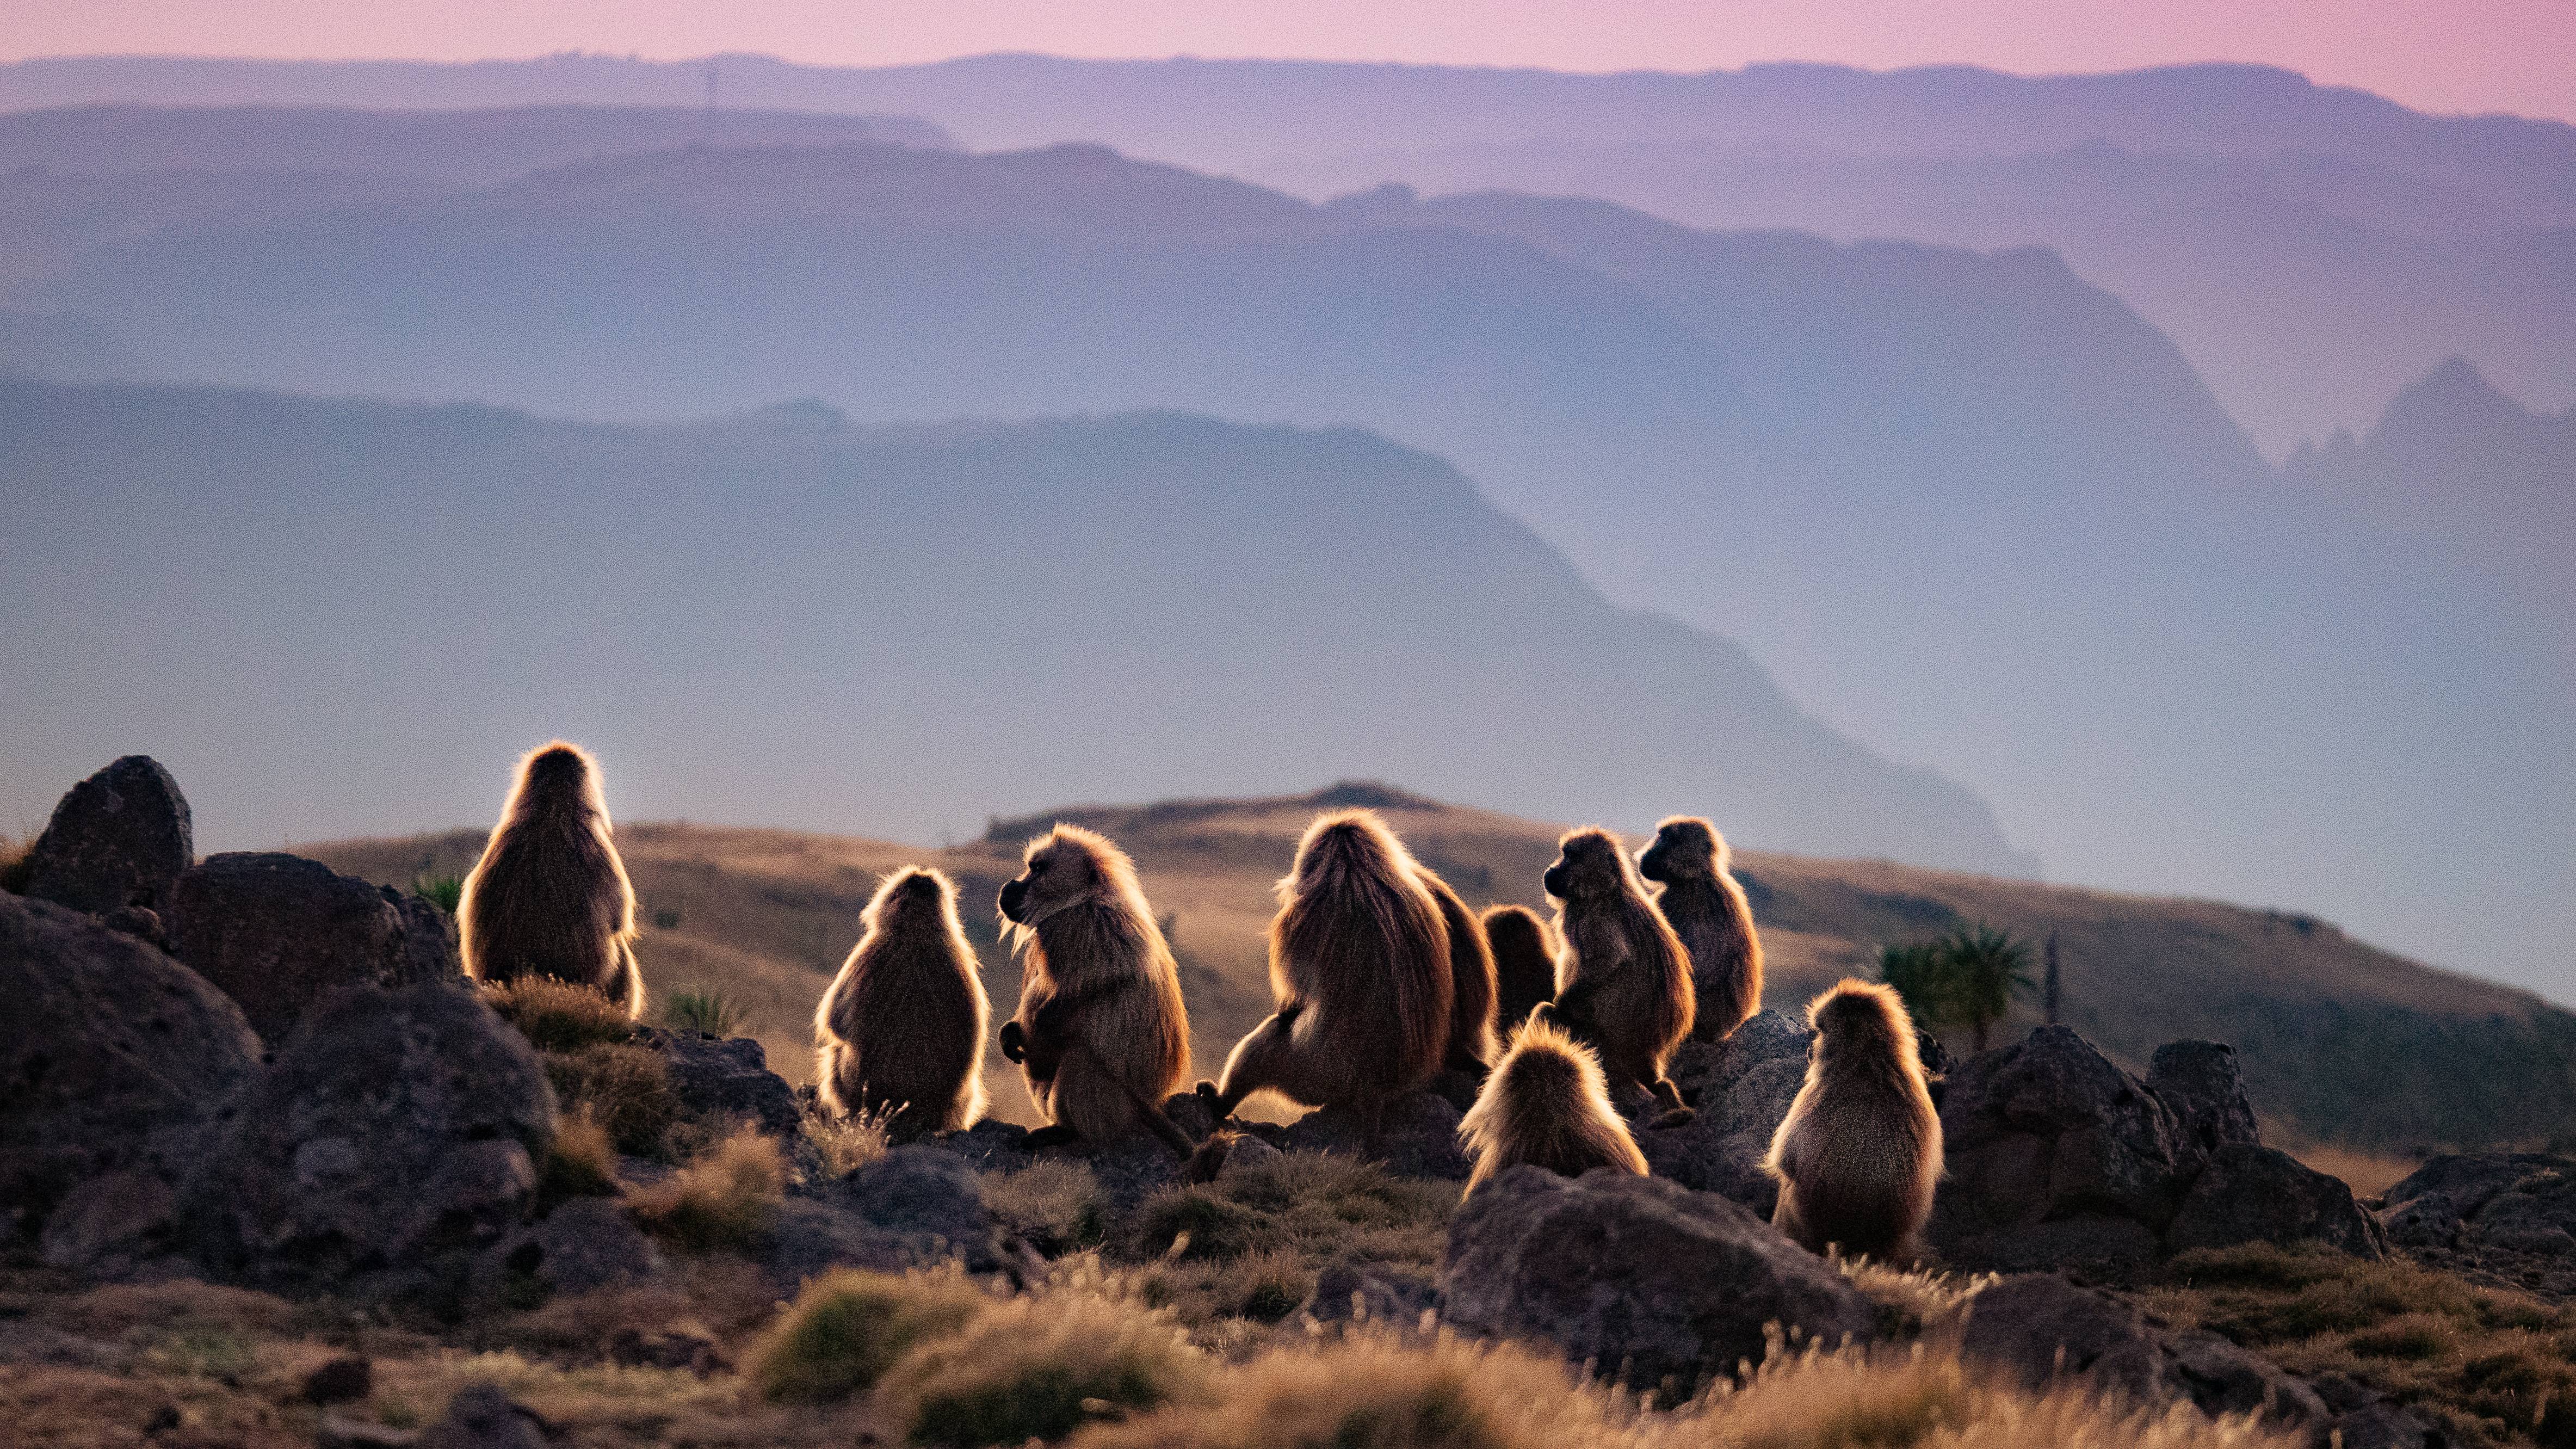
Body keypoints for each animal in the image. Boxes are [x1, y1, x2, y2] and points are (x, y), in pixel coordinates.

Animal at [995, 825, 1196, 1156]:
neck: (1084, 898)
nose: (1010, 886)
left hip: (1115, 1106)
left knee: (1077, 1059)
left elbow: (1108, 979)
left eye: (1037, 869)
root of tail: (1150, 1105)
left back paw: (1068, 1131)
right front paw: (1010, 1032)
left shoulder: (1072, 926)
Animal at [1197, 810, 1453, 1138]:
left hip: (1310, 1075)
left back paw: (1220, 1103)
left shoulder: (1299, 920)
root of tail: (1375, 1090)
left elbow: (1296, 1000)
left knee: (1272, 1036)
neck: (1359, 877)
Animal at [1533, 827, 1695, 1126]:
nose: (1551, 870)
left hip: (1598, 1049)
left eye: (1570, 857)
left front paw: (1563, 1002)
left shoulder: (1590, 920)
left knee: (1546, 1013)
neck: (1607, 889)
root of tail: (1643, 1059)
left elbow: (1610, 961)